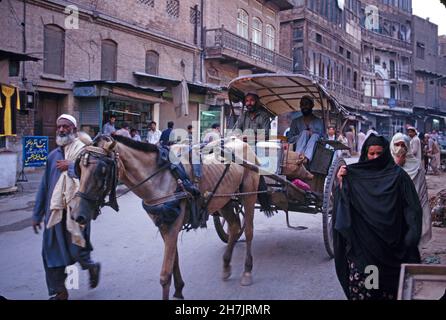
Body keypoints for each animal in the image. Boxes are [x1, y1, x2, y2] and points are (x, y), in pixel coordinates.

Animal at [70, 134, 272, 298]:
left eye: (102, 170)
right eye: (79, 168)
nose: (77, 215)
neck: (160, 178)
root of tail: (243, 142)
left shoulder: (173, 225)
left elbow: (165, 275)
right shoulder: (164, 225)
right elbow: (174, 259)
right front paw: (179, 290)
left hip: (249, 193)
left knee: (249, 231)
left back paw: (247, 271)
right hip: (225, 200)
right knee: (235, 226)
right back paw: (226, 265)